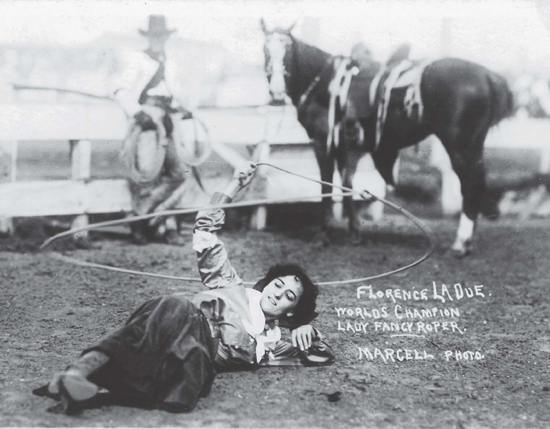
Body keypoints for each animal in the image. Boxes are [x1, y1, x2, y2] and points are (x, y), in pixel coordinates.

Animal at [260, 20, 516, 256]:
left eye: (288, 49)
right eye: (265, 49)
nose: (276, 92)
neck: (325, 84)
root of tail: (487, 76)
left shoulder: (323, 144)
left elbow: (327, 187)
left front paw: (322, 237)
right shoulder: (346, 149)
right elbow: (346, 185)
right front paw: (355, 234)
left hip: (460, 147)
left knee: (470, 184)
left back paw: (460, 244)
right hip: (472, 146)